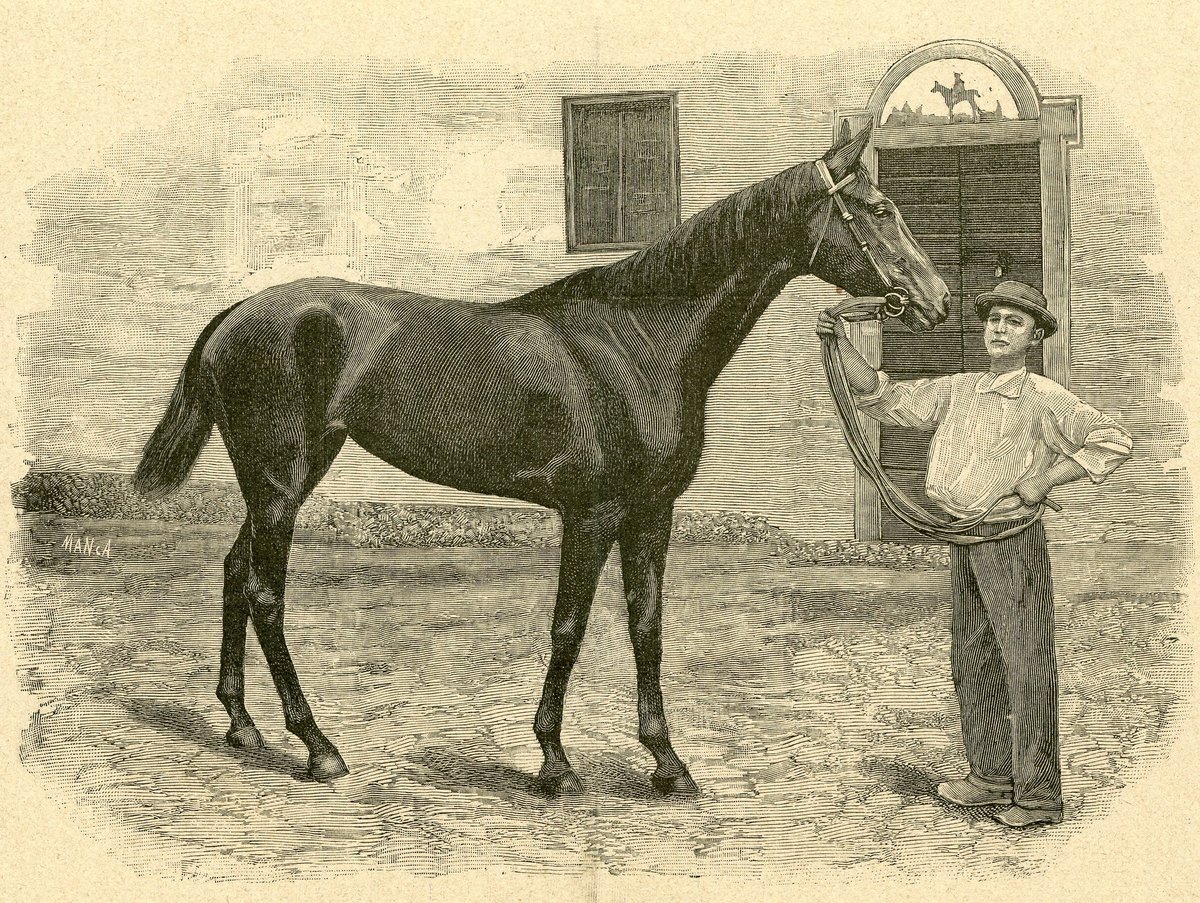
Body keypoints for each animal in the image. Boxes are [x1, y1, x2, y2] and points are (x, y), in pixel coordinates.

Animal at [133, 120, 950, 794]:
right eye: (877, 208)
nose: (938, 298)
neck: (638, 343)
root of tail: (235, 316)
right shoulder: (590, 515)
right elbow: (569, 627)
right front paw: (555, 762)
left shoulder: (652, 513)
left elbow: (646, 624)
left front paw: (668, 763)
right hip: (282, 481)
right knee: (266, 594)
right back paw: (317, 746)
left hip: (278, 480)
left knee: (235, 573)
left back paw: (243, 727)